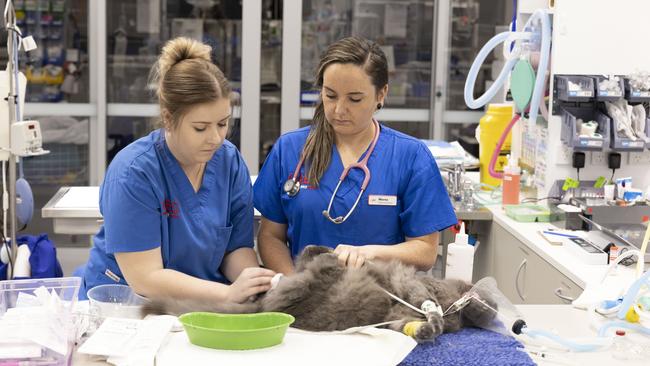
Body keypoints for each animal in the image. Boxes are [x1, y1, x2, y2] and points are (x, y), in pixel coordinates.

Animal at [143, 244, 496, 342]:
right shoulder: (411, 284)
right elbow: (423, 300)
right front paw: (433, 319)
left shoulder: (398, 313)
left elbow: (412, 322)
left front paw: (428, 328)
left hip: (306, 286)